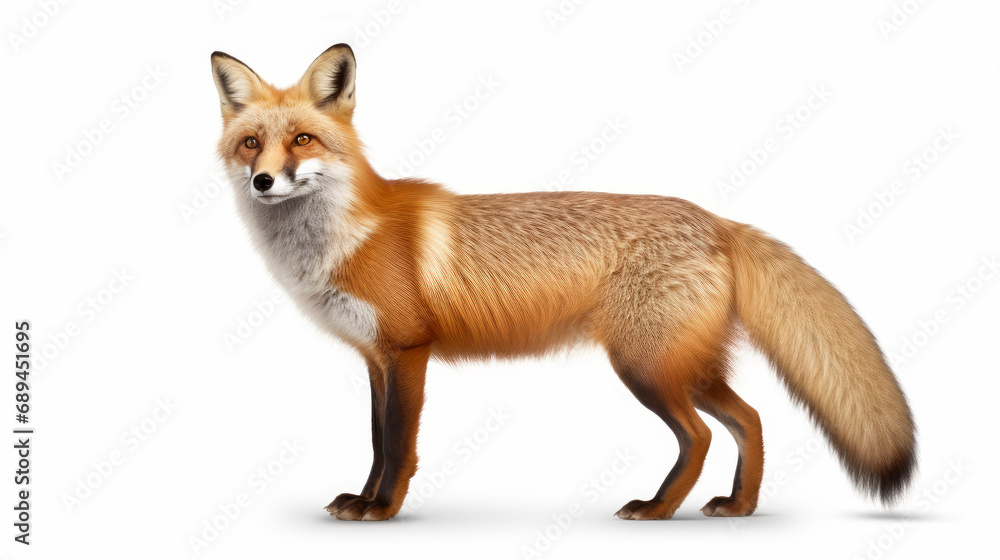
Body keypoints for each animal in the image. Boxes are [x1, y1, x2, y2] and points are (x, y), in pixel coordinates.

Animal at [210, 44, 916, 522]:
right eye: (250, 144)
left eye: (303, 140)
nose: (263, 181)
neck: (346, 237)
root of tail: (717, 219)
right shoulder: (377, 359)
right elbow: (379, 442)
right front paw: (363, 500)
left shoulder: (408, 352)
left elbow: (398, 446)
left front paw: (381, 511)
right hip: (683, 364)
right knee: (752, 420)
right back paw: (737, 507)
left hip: (646, 366)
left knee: (704, 434)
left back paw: (657, 510)